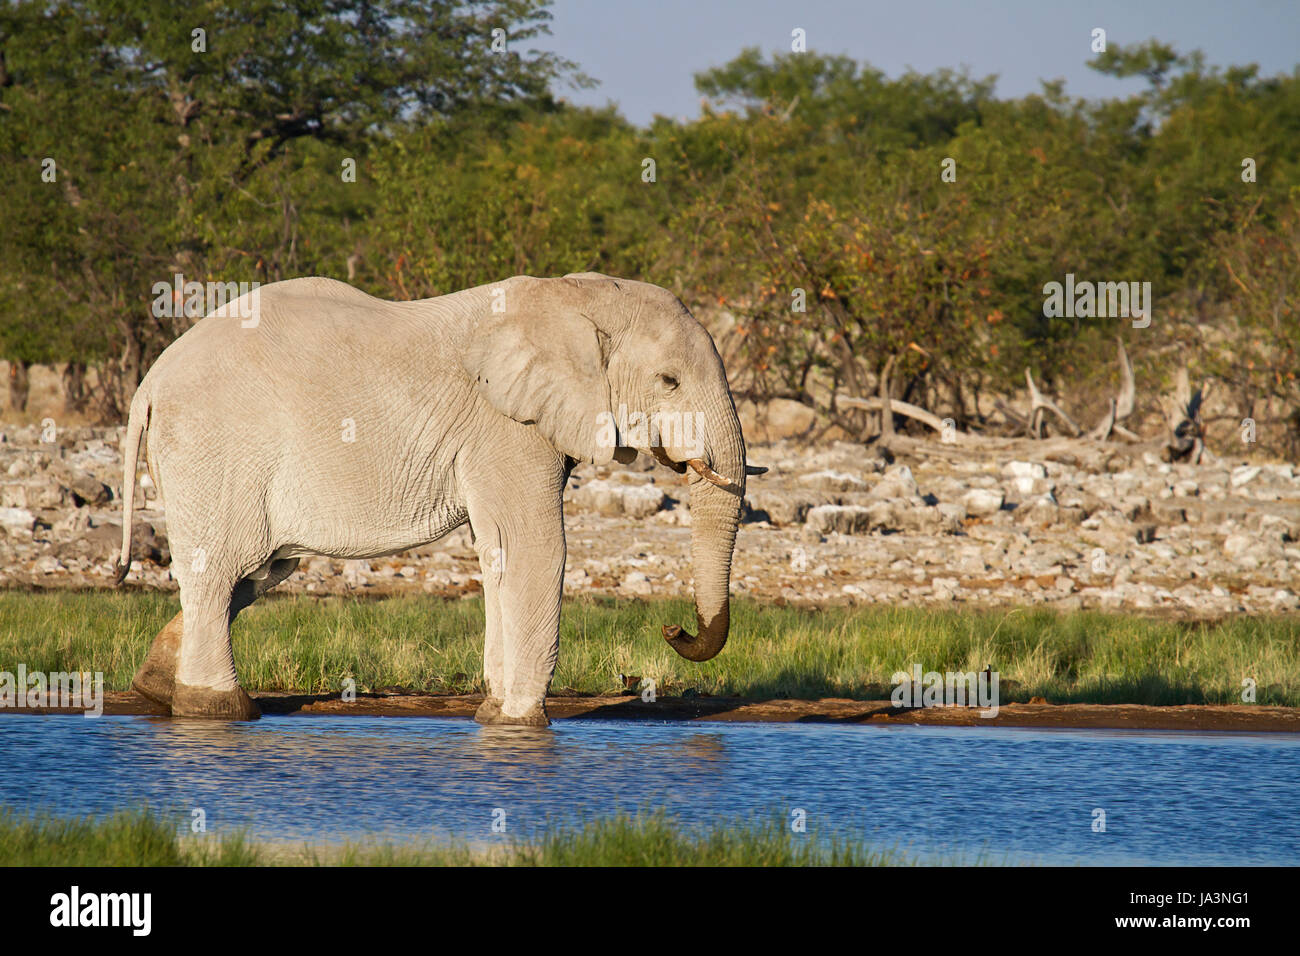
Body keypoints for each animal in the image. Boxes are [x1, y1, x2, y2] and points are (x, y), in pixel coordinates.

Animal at [114, 274, 759, 723]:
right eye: (670, 382)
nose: (672, 630)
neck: (575, 296)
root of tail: (149, 383)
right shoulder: (506, 429)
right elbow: (535, 551)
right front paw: (522, 723)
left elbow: (498, 553)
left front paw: (495, 713)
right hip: (216, 449)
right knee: (222, 571)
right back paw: (220, 710)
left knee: (255, 574)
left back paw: (157, 688)